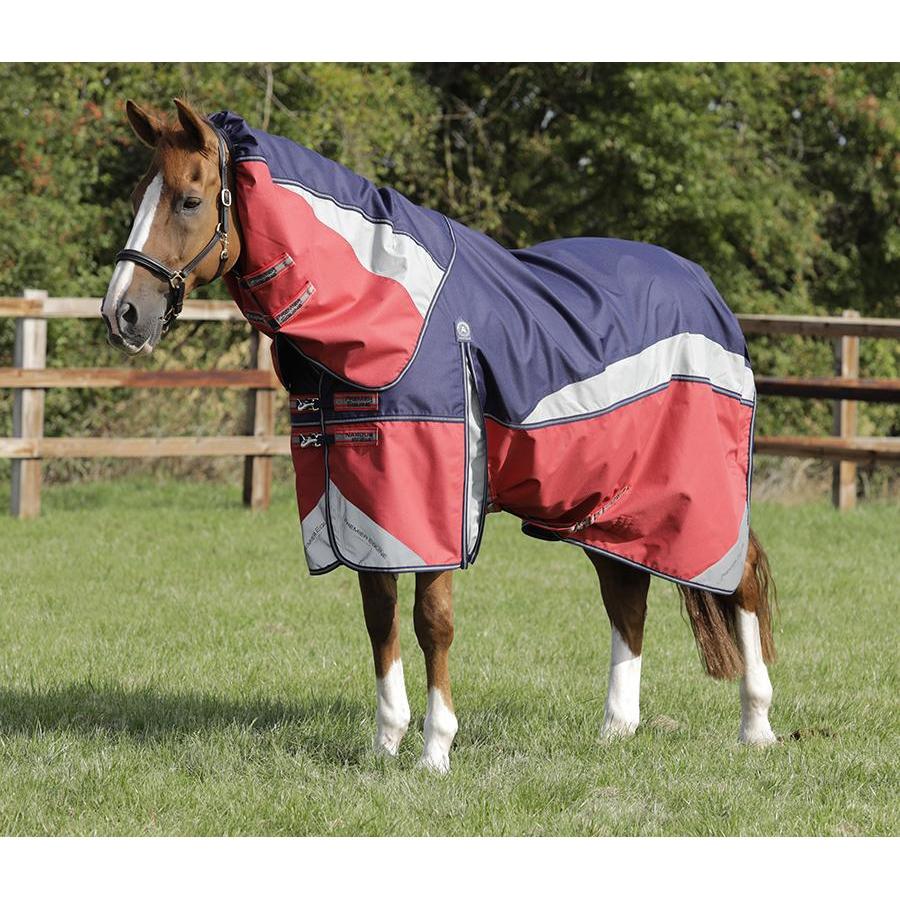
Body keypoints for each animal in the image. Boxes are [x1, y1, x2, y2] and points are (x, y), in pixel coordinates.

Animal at [101, 98, 777, 773]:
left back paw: (757, 724)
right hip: (601, 504)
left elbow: (432, 622)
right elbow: (379, 617)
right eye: (137, 195)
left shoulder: (433, 506)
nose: (121, 313)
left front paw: (435, 749)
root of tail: (709, 292)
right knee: (626, 592)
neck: (385, 310)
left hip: (699, 495)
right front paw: (386, 741)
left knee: (738, 578)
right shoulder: (364, 501)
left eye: (190, 200)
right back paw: (618, 728)